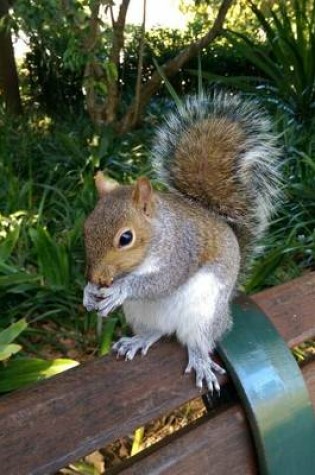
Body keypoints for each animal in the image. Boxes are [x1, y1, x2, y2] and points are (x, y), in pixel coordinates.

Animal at [82, 91, 282, 392]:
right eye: (86, 227)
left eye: (126, 238)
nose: (97, 278)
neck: (158, 236)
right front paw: (88, 292)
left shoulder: (182, 252)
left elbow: (161, 282)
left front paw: (119, 289)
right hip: (139, 313)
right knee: (156, 331)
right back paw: (139, 339)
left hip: (204, 314)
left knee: (198, 340)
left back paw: (200, 361)